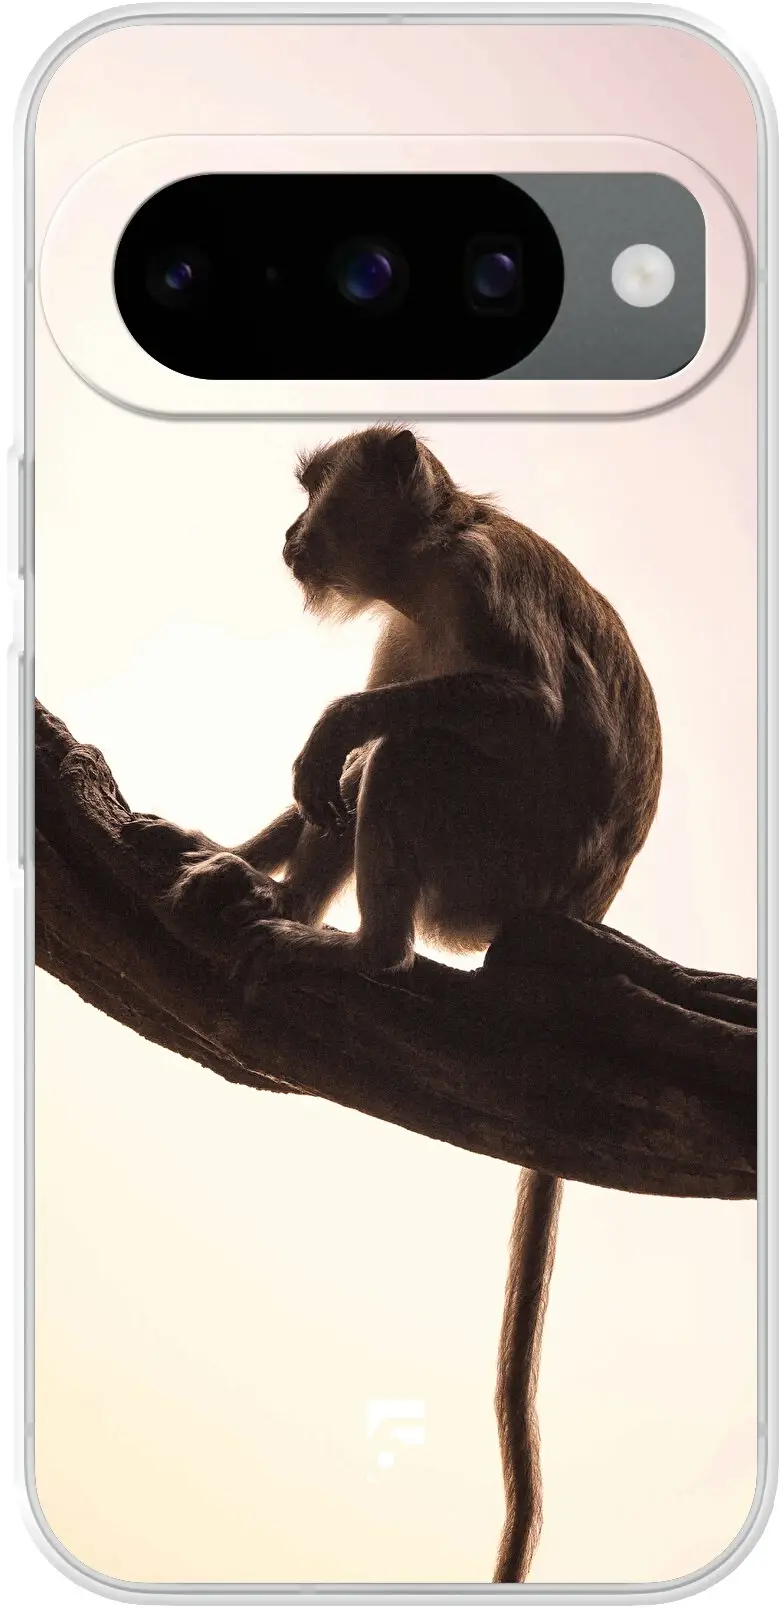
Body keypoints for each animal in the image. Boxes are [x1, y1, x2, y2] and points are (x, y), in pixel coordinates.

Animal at [166, 424, 663, 1581]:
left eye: (318, 490)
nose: (291, 532)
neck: (427, 559)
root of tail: (576, 911)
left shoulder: (475, 581)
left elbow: (521, 708)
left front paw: (330, 736)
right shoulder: (403, 623)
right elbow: (332, 772)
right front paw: (231, 852)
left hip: (494, 872)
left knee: (410, 755)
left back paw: (360, 950)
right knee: (371, 776)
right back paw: (277, 898)